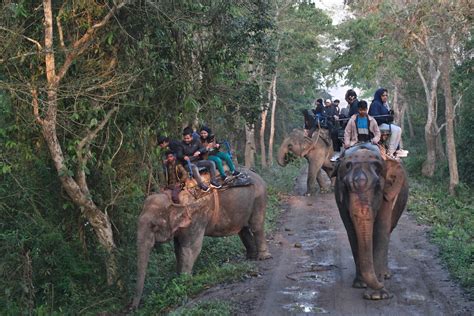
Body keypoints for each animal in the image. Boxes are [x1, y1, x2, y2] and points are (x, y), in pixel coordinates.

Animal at [131, 169, 270, 310]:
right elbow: (178, 249)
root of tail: (258, 176)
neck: (172, 196)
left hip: (258, 197)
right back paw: (250, 257)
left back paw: (263, 257)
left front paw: (183, 283)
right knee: (243, 230)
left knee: (256, 226)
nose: (132, 307)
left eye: (153, 226)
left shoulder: (196, 216)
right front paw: (178, 279)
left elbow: (190, 249)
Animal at [336, 144, 410, 300]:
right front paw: (361, 284)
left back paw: (385, 274)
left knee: (389, 230)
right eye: (345, 186)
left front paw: (377, 296)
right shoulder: (338, 197)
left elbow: (381, 229)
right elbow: (351, 232)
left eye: (377, 186)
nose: (380, 283)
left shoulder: (387, 194)